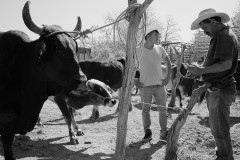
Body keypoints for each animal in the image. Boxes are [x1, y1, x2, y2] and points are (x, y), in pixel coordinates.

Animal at [0, 0, 87, 159]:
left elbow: (71, 115)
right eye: (57, 46)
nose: (82, 80)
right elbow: (67, 116)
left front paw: (77, 131)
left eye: (75, 47)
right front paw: (72, 136)